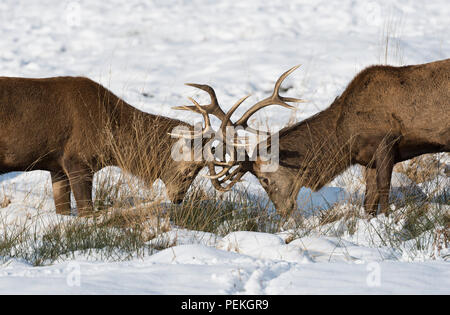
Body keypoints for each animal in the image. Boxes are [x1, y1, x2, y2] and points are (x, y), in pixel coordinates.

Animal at [174, 59, 448, 217]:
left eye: (264, 179)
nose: (283, 212)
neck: (344, 137)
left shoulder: (386, 143)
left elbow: (383, 192)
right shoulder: (367, 158)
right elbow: (368, 203)